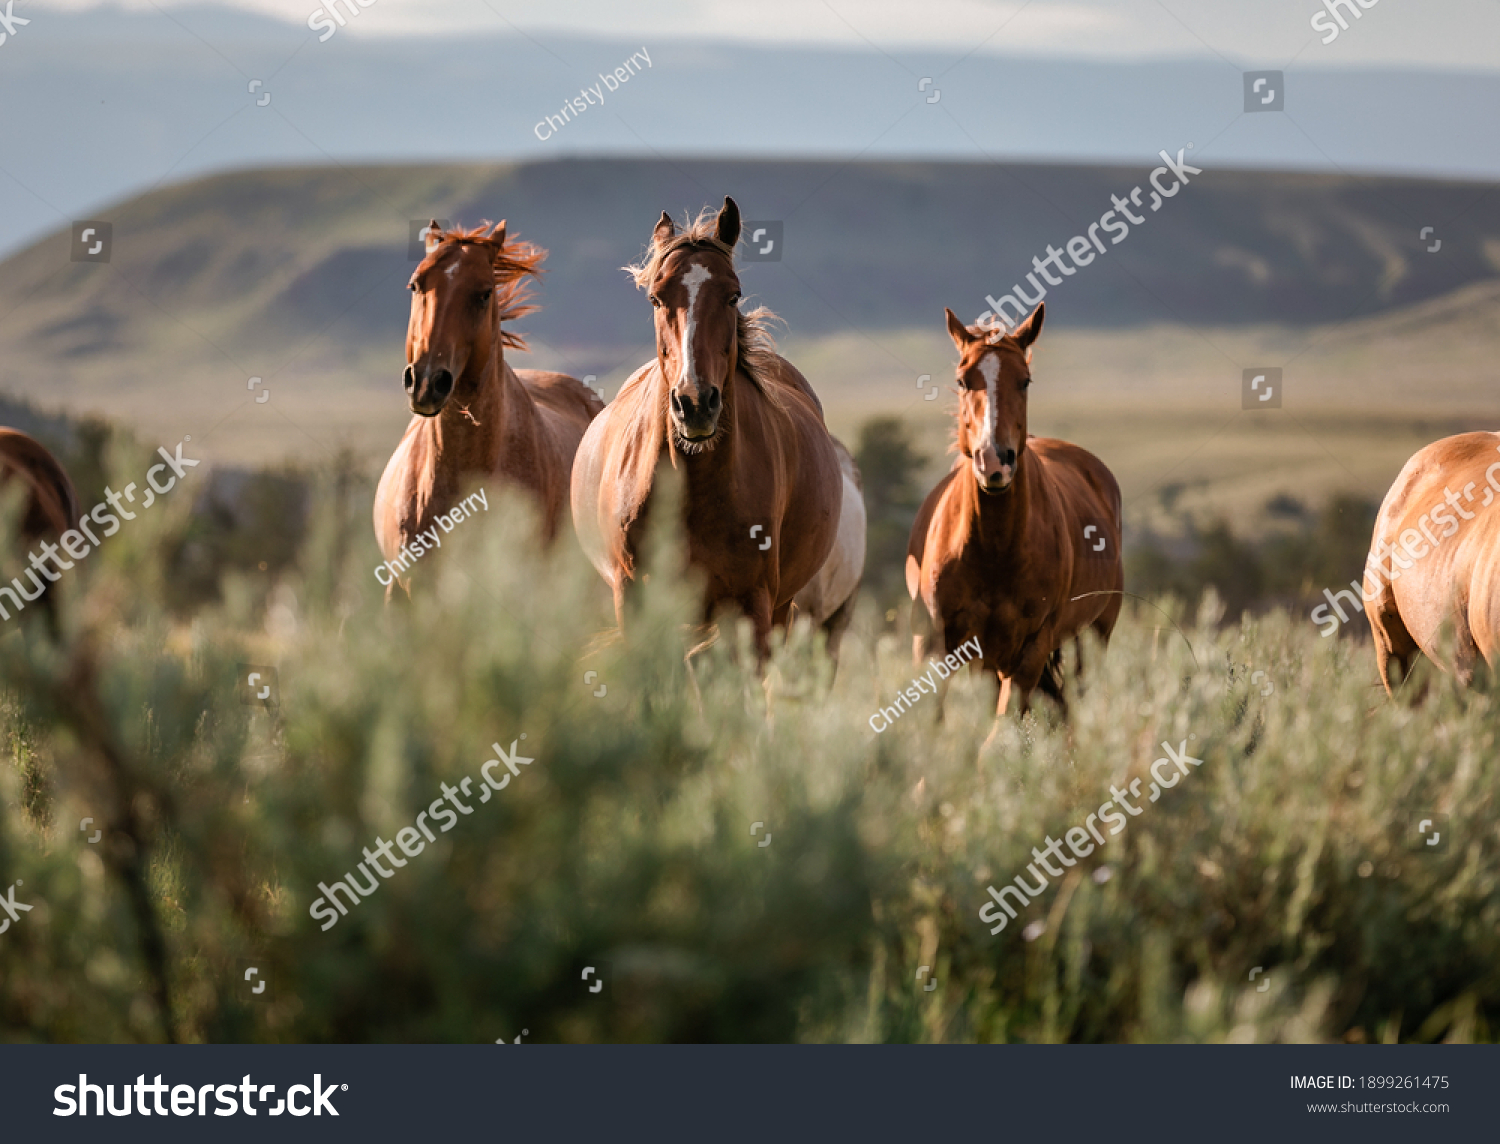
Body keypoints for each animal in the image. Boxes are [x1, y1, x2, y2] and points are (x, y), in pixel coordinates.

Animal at [900, 304, 1128, 716]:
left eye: (1025, 381)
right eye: (962, 380)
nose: (995, 461)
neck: (992, 551)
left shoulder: (1029, 652)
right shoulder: (934, 643)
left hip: (1089, 641)